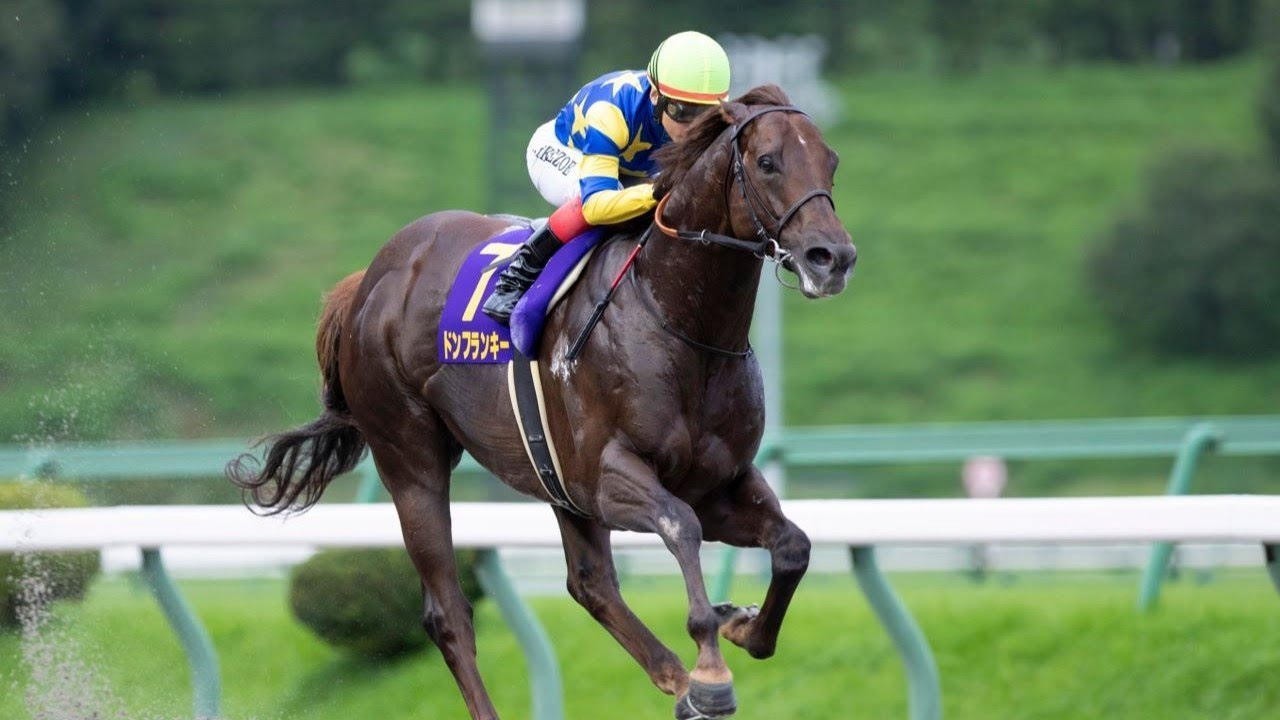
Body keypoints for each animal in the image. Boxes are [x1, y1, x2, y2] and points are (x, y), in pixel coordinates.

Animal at [227, 84, 855, 720]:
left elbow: (793, 546)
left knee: (591, 584)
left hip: (554, 478)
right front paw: (710, 666)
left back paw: (676, 681)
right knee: (448, 613)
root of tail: (372, 279)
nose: (832, 257)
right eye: (767, 162)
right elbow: (681, 526)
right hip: (410, 458)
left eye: (831, 161)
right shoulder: (608, 476)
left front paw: (738, 624)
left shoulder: (718, 481)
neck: (677, 318)